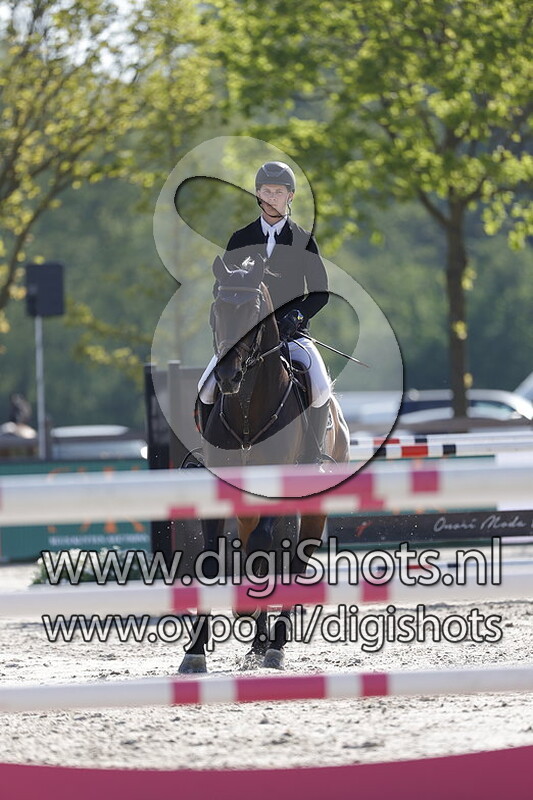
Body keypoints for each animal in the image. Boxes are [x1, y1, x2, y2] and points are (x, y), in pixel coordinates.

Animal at [178, 253, 349, 673]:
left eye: (254, 312)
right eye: (216, 310)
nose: (228, 376)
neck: (246, 410)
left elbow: (262, 550)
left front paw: (248, 615)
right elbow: (211, 562)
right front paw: (195, 651)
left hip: (312, 507)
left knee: (294, 562)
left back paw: (275, 644)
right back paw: (258, 642)